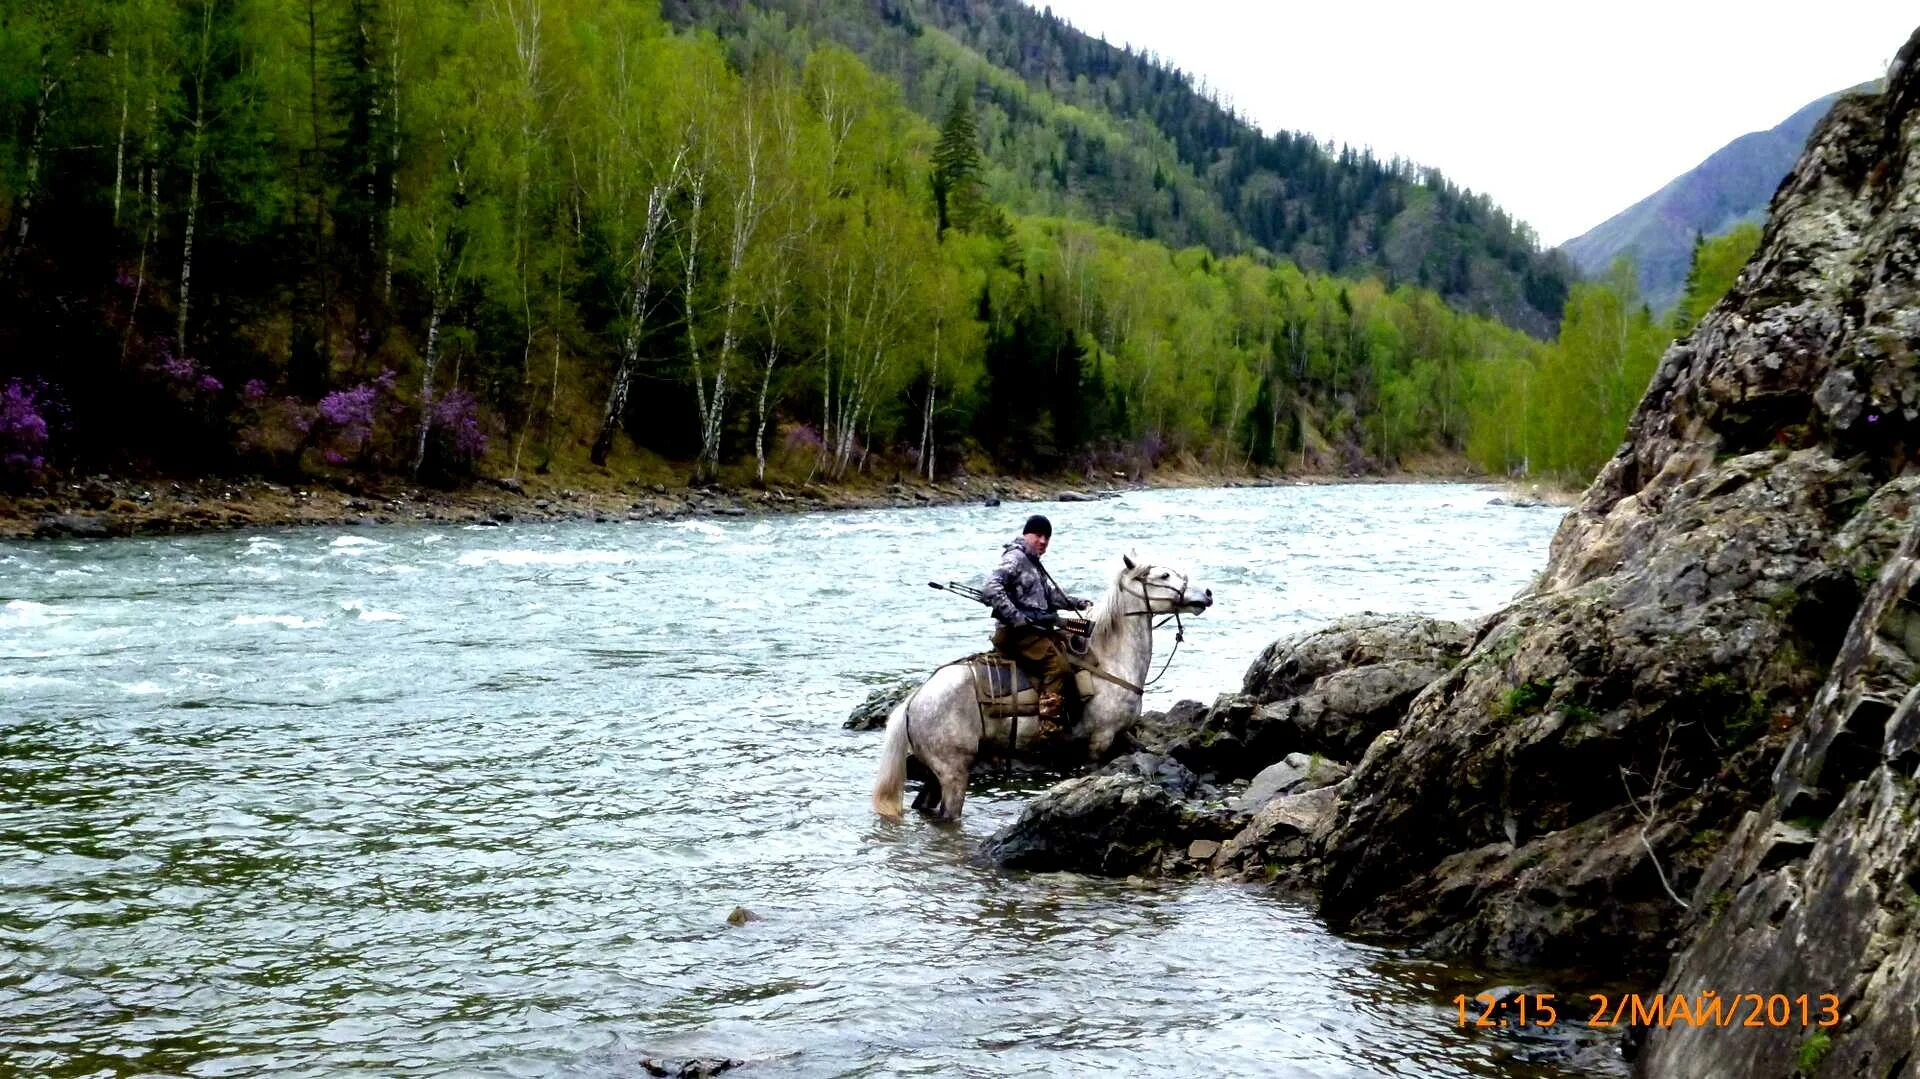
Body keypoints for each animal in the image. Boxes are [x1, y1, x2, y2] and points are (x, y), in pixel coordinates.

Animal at [875, 552, 1213, 814]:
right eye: (1163, 574)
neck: (1109, 660)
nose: (1207, 594)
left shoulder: (1122, 736)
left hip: (934, 772)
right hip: (953, 771)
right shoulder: (1099, 741)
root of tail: (914, 700)